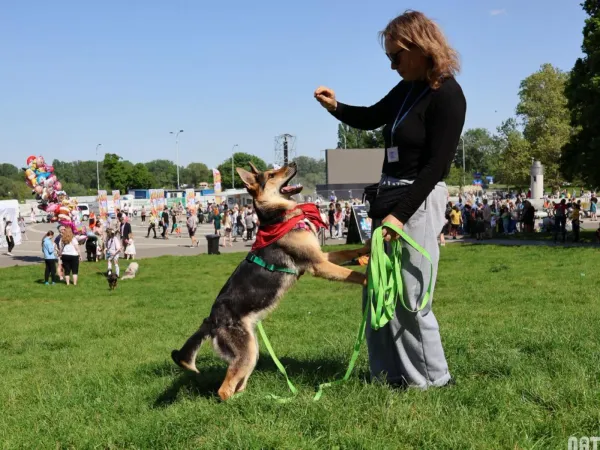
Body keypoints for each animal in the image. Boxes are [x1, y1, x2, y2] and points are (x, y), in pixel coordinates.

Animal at [171, 162, 370, 400]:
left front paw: (369, 246)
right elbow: (353, 274)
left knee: (238, 383)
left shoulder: (321, 256)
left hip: (252, 350)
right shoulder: (318, 265)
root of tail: (212, 320)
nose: (293, 163)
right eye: (273, 174)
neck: (280, 217)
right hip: (246, 353)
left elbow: (349, 251)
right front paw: (369, 278)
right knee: (224, 390)